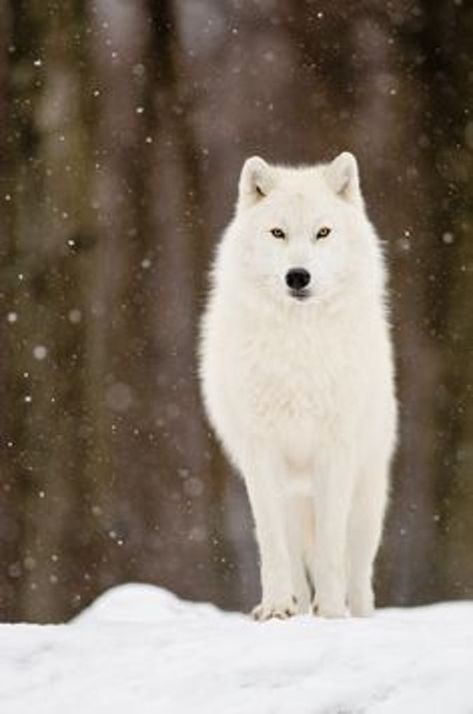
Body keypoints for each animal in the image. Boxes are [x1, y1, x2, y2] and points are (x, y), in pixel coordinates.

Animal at [199, 153, 397, 619]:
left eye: (323, 232)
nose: (298, 276)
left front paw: (333, 614)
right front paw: (276, 608)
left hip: (366, 499)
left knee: (359, 572)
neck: (299, 346)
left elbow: (329, 553)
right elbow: (273, 550)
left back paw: (357, 615)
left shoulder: (335, 453)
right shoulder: (262, 455)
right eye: (278, 233)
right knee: (293, 557)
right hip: (291, 498)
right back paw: (297, 608)